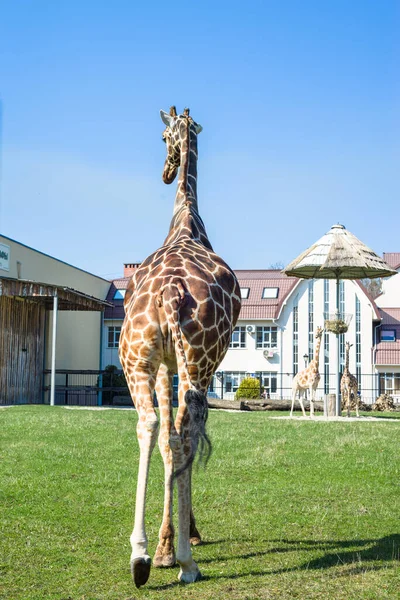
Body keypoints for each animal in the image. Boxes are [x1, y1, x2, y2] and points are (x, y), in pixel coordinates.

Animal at [119, 106, 241, 584]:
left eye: (164, 136)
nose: (167, 171)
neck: (186, 220)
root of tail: (171, 292)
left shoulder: (163, 365)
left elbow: (167, 440)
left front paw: (167, 546)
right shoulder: (175, 366)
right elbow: (177, 443)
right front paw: (179, 540)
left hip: (141, 360)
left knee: (150, 425)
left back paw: (142, 556)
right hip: (195, 364)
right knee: (181, 433)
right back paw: (183, 560)